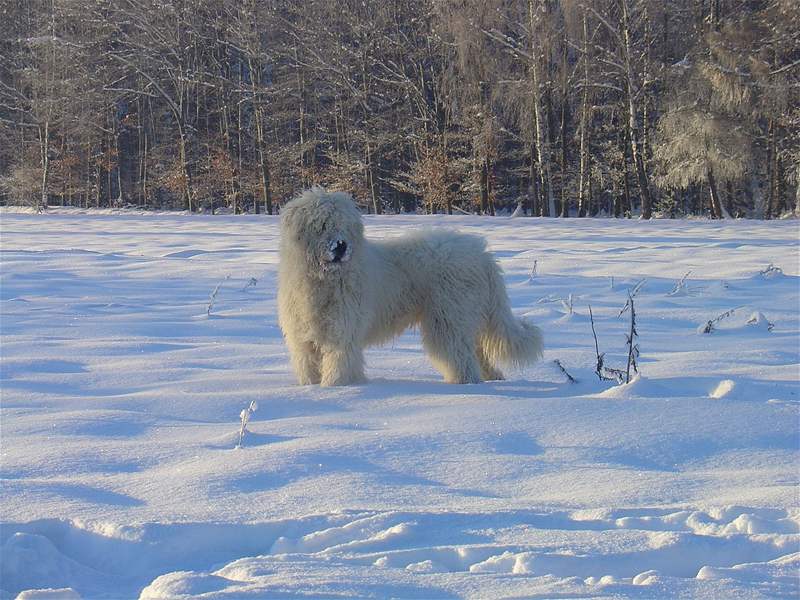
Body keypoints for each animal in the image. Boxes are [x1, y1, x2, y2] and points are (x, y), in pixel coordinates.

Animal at [276, 186, 544, 384]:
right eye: (321, 224)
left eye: (346, 225)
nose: (341, 246)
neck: (322, 280)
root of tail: (483, 255)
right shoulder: (303, 337)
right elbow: (308, 367)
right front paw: (311, 389)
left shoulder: (342, 334)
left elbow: (337, 368)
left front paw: (337, 389)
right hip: (465, 318)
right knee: (477, 353)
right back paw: (491, 379)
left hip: (449, 317)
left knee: (460, 356)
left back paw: (465, 384)